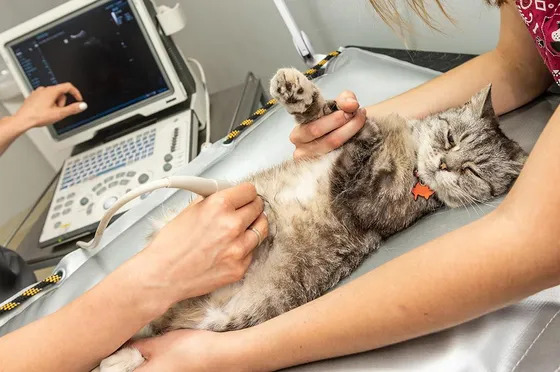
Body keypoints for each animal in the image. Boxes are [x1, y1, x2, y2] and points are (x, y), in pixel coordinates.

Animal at [94, 68, 528, 370]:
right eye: (451, 137)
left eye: (473, 171)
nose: (444, 165)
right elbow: (332, 118)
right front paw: (303, 94)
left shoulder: (360, 199)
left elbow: (362, 140)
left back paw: (119, 360)